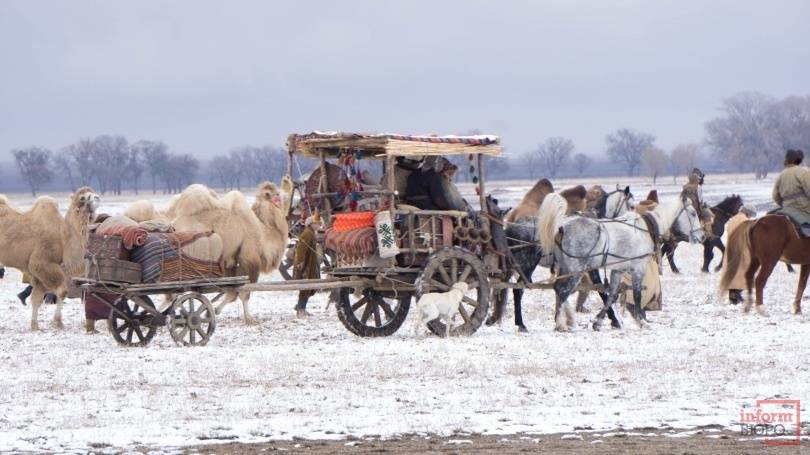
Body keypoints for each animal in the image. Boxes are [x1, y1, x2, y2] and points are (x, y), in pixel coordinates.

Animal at [0, 187, 100, 330]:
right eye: (82, 197)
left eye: (93, 192)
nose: (97, 197)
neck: (62, 237)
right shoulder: (41, 263)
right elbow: (62, 291)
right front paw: (57, 323)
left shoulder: (40, 272)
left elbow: (37, 298)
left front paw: (35, 326)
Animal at [172, 182, 288, 324]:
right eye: (277, 194)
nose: (285, 194)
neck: (263, 232)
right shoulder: (248, 258)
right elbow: (244, 292)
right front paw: (249, 319)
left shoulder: (229, 262)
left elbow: (232, 292)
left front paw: (211, 311)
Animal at [544, 194, 708, 334]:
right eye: (693, 213)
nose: (702, 236)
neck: (645, 230)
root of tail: (562, 228)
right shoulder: (638, 269)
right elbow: (637, 296)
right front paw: (642, 321)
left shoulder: (618, 270)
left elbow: (612, 295)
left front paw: (599, 322)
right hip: (576, 271)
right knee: (563, 291)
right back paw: (562, 323)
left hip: (566, 269)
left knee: (557, 289)